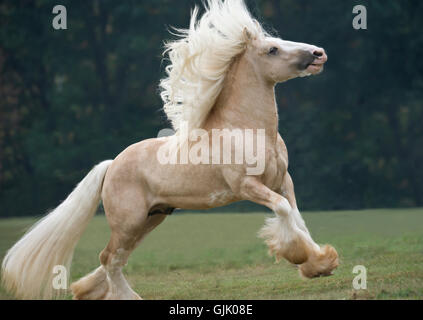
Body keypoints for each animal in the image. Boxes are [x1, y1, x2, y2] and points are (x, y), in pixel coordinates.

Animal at [0, 0, 338, 300]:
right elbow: (283, 211)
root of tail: (111, 165)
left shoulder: (283, 181)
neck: (248, 130)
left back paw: (87, 290)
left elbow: (295, 215)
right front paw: (302, 258)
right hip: (130, 221)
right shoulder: (247, 186)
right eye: (272, 50)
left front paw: (321, 263)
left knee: (114, 258)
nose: (318, 53)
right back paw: (128, 297)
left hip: (152, 218)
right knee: (109, 257)